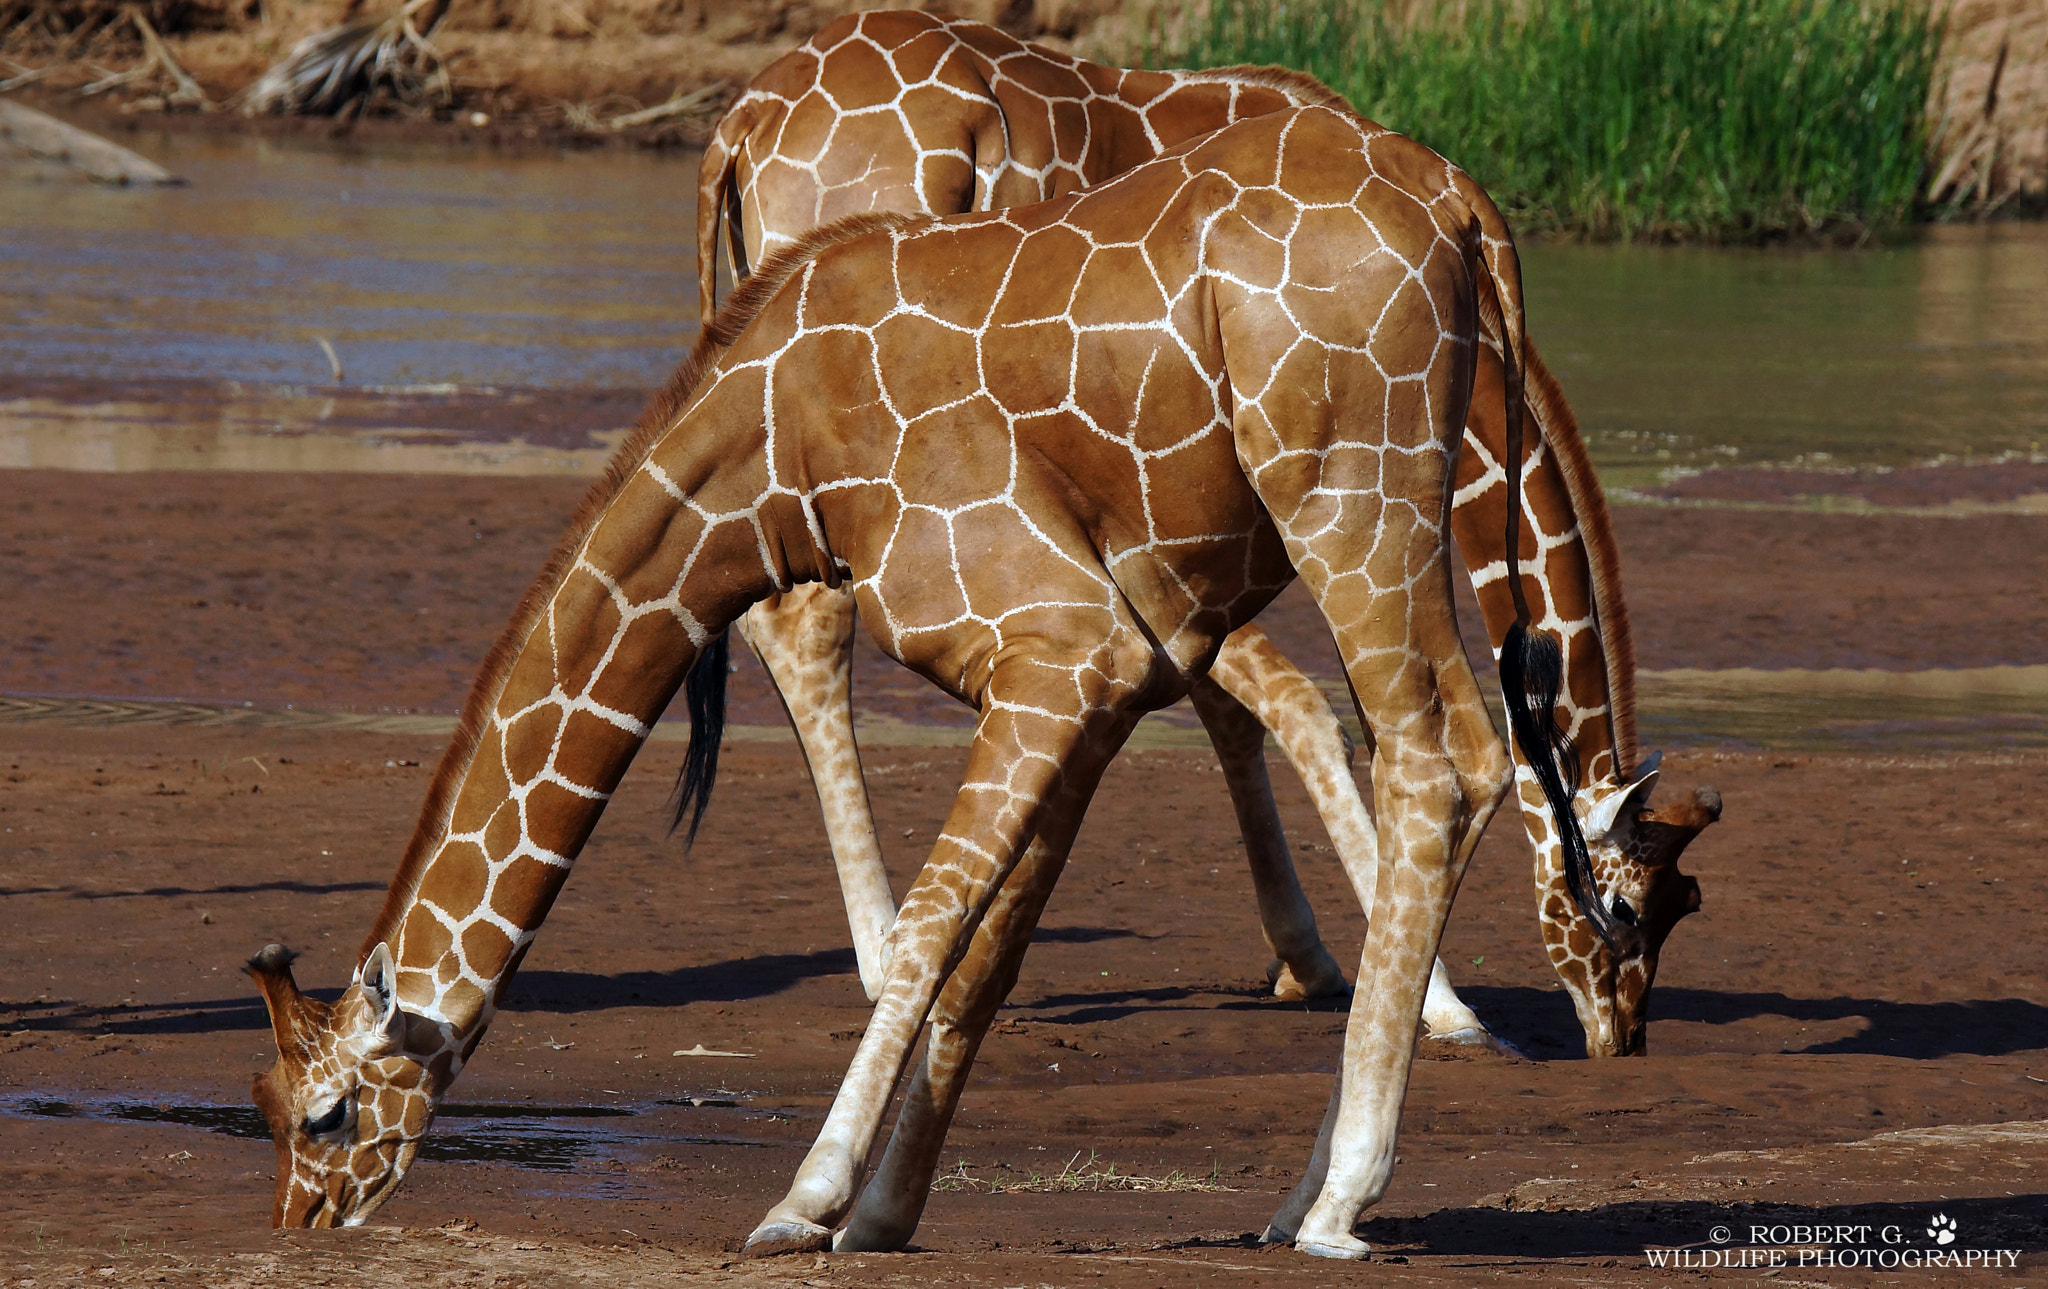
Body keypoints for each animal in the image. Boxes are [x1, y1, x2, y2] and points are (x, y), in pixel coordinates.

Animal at [247, 105, 1605, 1254]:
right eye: (262, 1106)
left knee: (1440, 758)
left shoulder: (1060, 641)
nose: (304, 1218)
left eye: (323, 1113)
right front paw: (884, 1212)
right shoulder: (1111, 675)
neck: (774, 455)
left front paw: (803, 1199)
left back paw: (1337, 1197)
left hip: (1344, 495)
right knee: (1467, 755)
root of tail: (1460, 203)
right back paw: (1296, 1193)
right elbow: (986, 952)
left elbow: (921, 926)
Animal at [696, 12, 1720, 1057]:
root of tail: (741, 125)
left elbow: (1235, 707)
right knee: (803, 621)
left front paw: (1305, 958)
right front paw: (1441, 1003)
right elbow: (1307, 709)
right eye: (1633, 906)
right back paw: (876, 954)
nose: (1622, 1034)